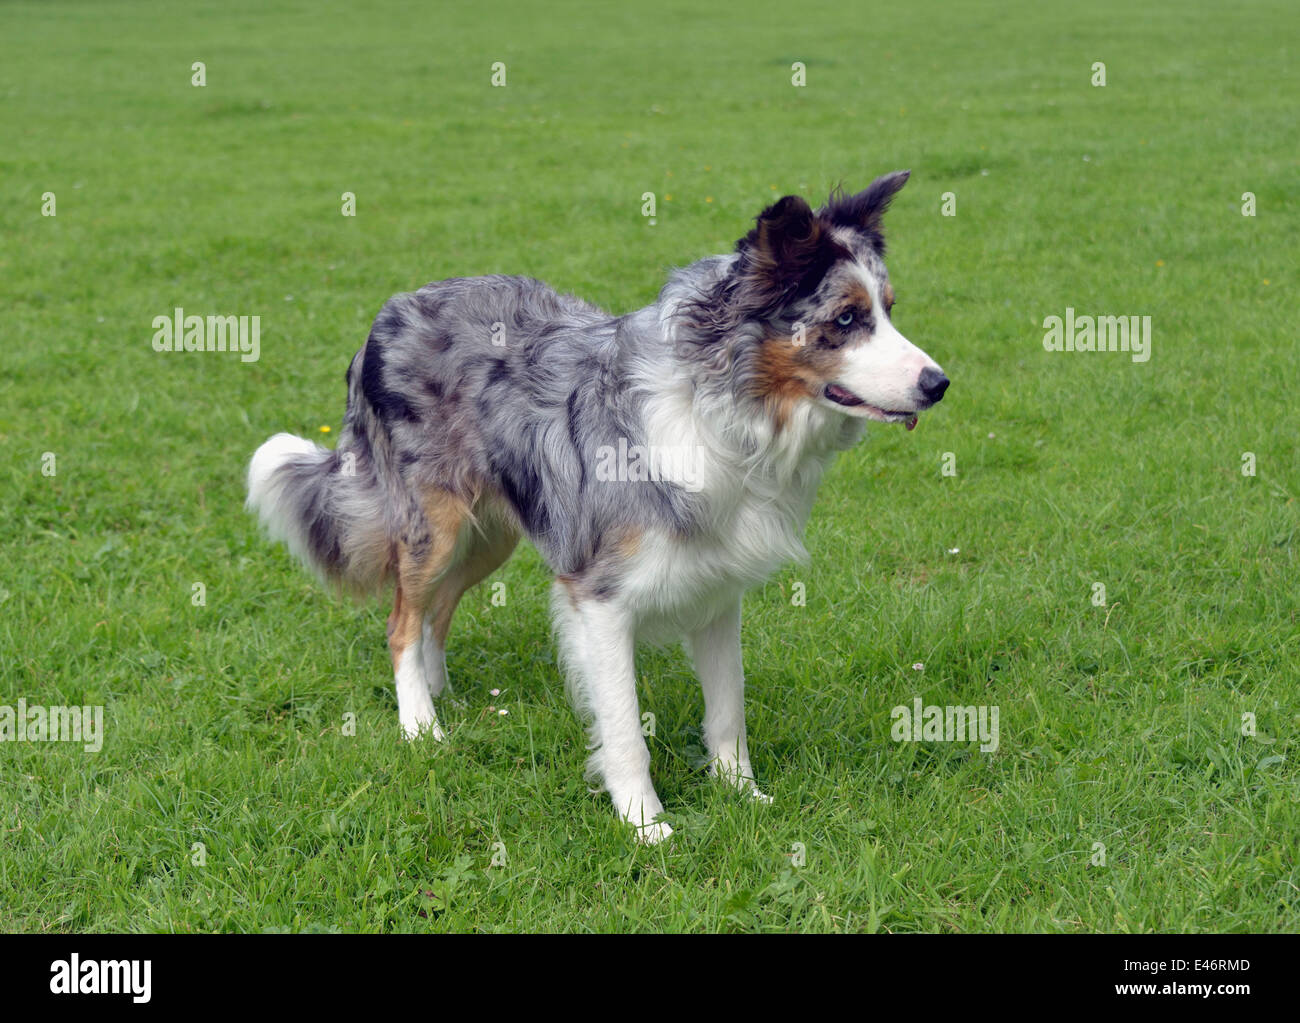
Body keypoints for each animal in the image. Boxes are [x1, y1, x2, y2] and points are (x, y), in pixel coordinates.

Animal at [248, 171, 951, 842]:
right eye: (846, 319)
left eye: (889, 311)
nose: (939, 384)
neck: (724, 411)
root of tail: (389, 311)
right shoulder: (600, 597)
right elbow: (624, 728)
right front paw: (645, 825)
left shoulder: (719, 592)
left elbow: (729, 710)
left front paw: (743, 797)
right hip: (436, 527)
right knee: (401, 620)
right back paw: (421, 726)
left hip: (492, 534)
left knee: (435, 613)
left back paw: (443, 696)